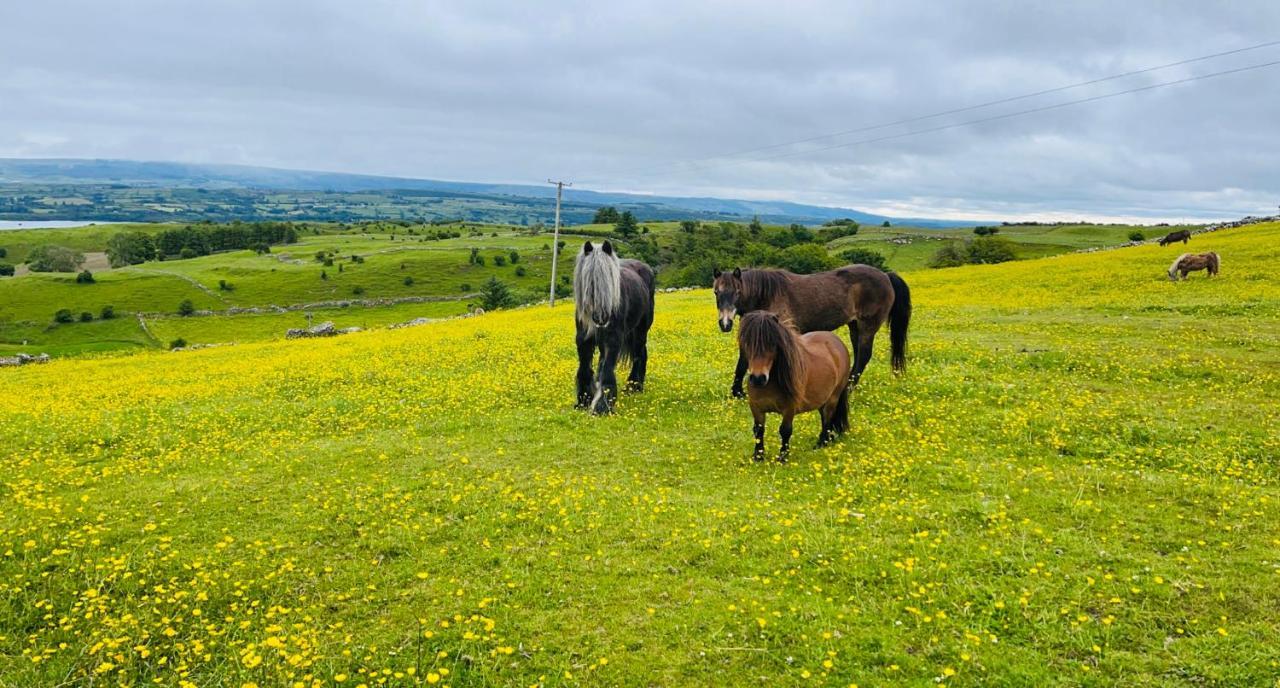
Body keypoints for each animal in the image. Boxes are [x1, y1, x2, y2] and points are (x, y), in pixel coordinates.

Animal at [573, 240, 655, 411]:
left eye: (610, 280)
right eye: (590, 282)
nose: (601, 319)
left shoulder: (613, 340)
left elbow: (607, 370)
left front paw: (602, 406)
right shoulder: (583, 340)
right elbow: (584, 368)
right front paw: (584, 400)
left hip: (640, 331)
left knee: (639, 355)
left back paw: (634, 387)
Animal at [711, 263, 911, 396]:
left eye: (737, 292)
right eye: (716, 292)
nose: (725, 323)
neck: (766, 295)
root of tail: (885, 275)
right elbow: (743, 362)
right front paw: (737, 393)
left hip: (867, 326)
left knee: (864, 356)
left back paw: (848, 389)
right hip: (855, 326)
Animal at [742, 310, 849, 460]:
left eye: (772, 344)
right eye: (747, 342)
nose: (758, 378)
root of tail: (838, 342)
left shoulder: (789, 408)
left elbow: (785, 431)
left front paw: (783, 457)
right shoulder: (756, 407)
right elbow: (758, 430)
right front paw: (758, 456)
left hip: (833, 398)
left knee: (827, 419)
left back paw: (821, 444)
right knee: (824, 419)